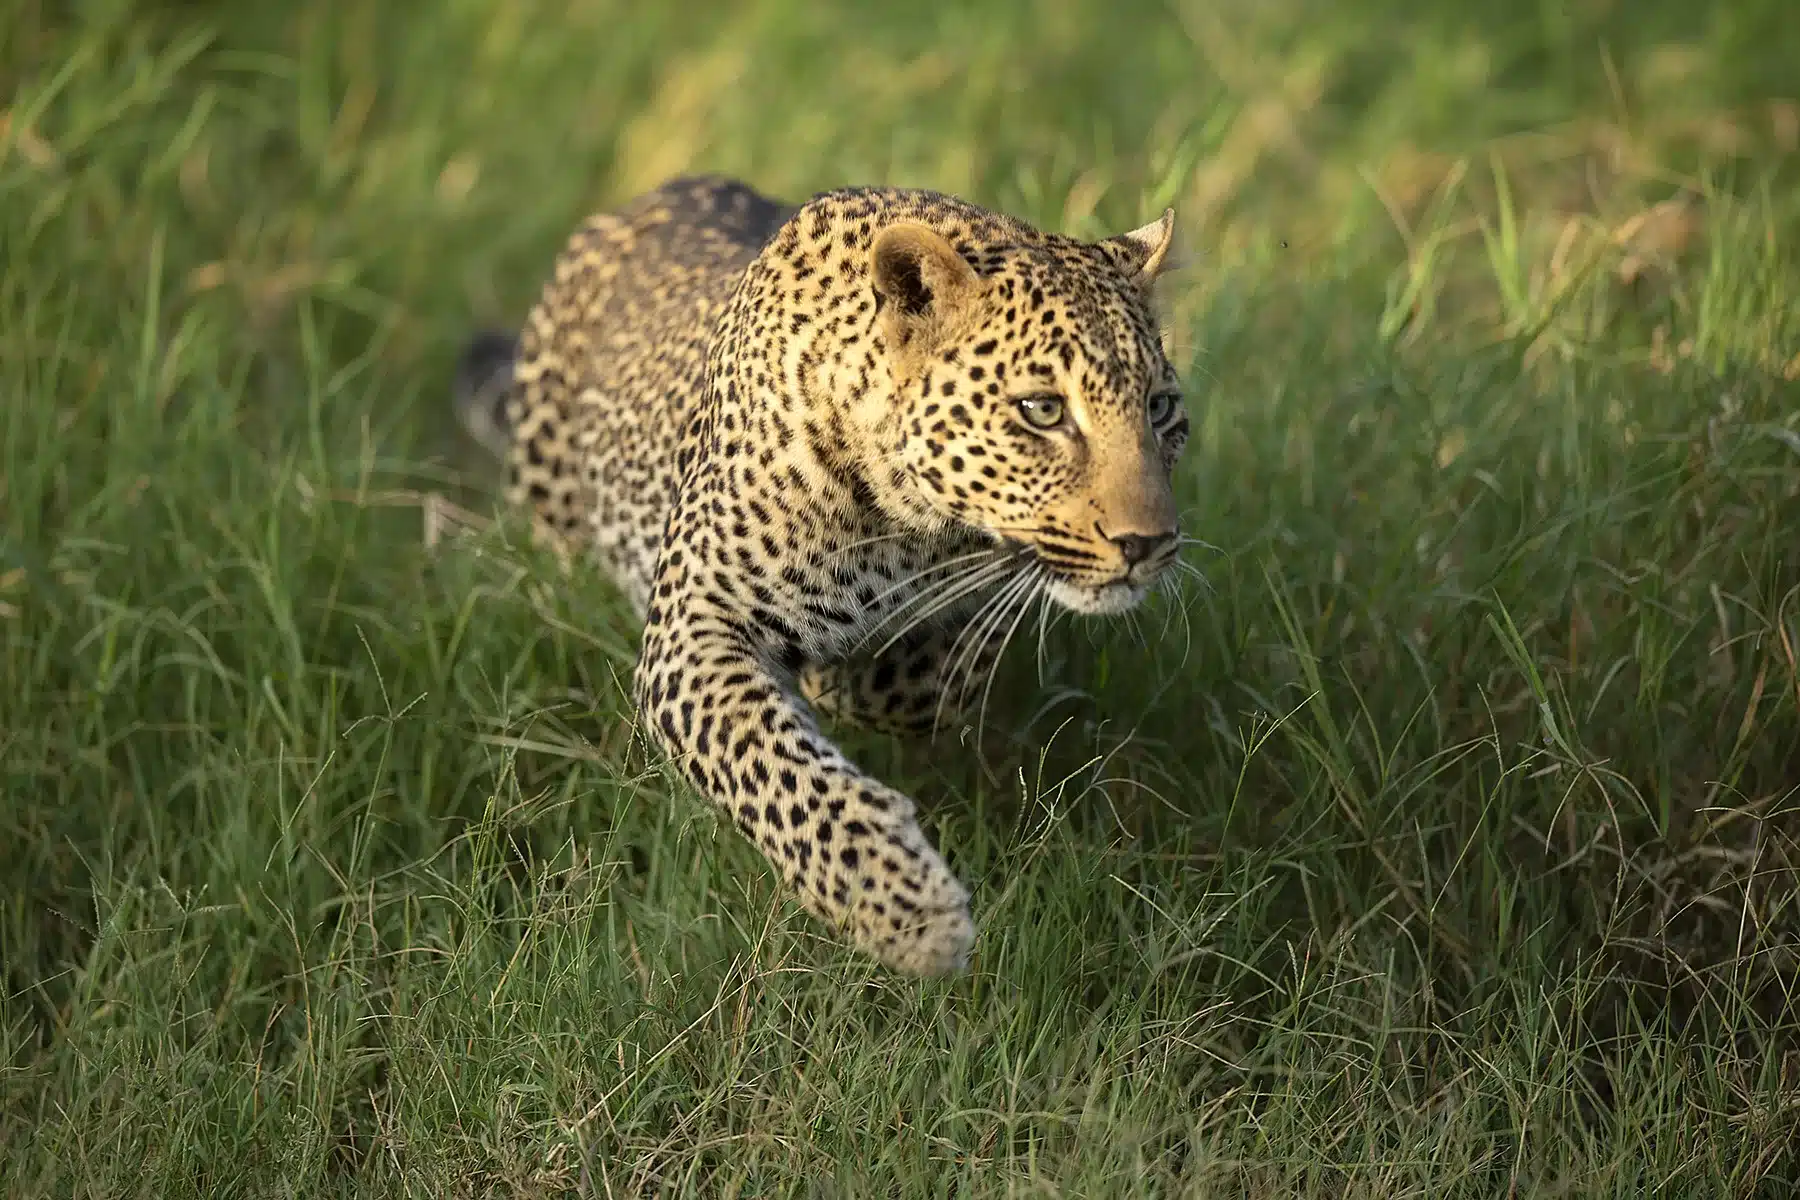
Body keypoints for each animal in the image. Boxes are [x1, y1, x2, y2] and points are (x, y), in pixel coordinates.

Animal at [457, 176, 1188, 978]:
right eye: (1042, 410)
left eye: (1161, 409)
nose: (1150, 544)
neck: (911, 526)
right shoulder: (696, 623)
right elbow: (771, 764)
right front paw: (907, 911)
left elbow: (934, 682)